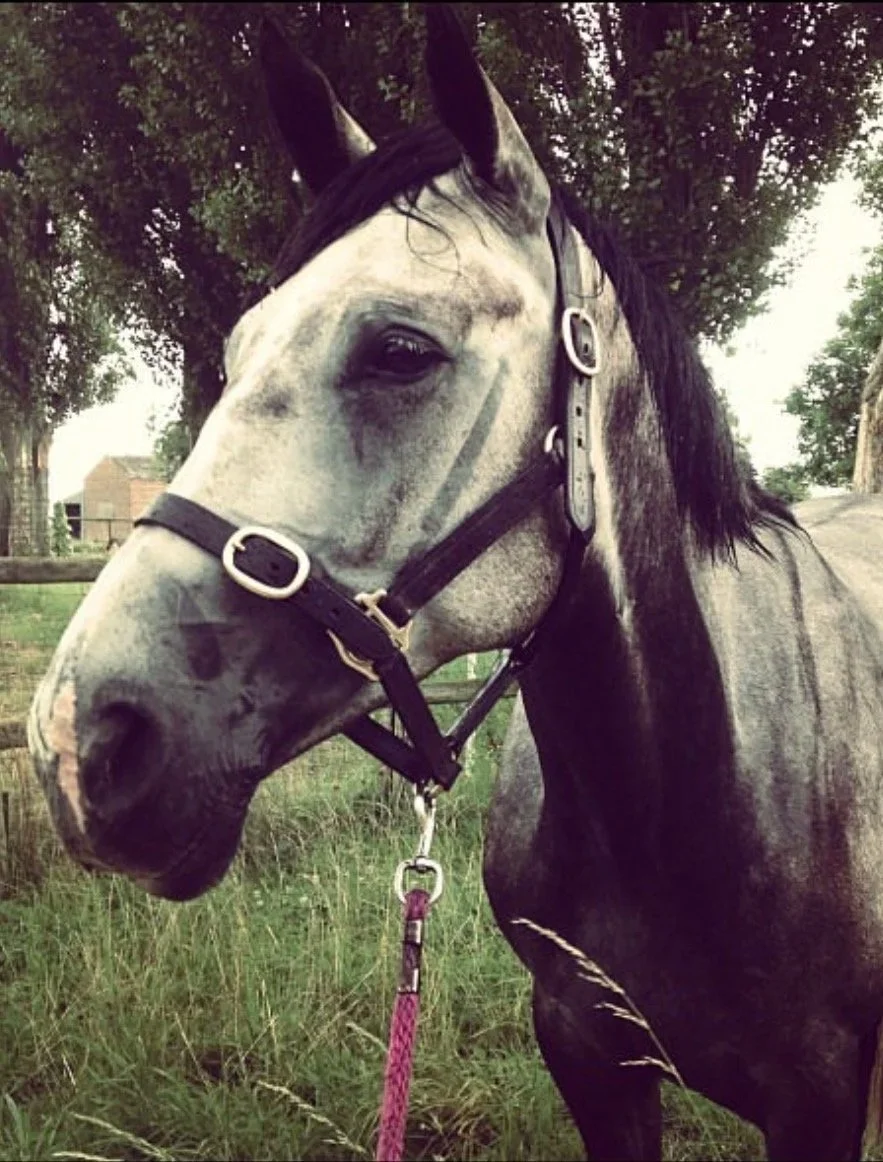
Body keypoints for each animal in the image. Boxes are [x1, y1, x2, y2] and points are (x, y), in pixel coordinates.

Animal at [28, 9, 883, 1159]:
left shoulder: (819, 1097)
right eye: (236, 351)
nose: (76, 743)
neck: (690, 792)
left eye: (401, 350)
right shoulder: (585, 1048)